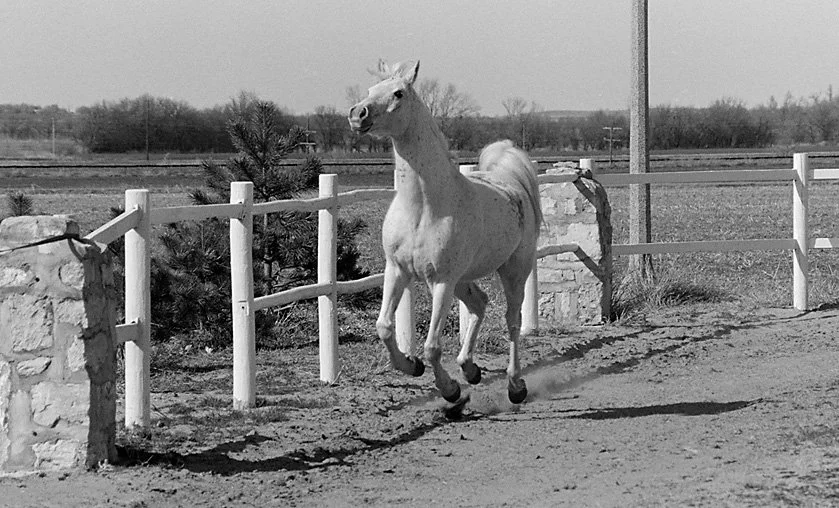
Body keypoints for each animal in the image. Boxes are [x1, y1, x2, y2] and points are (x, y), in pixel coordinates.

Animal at [348, 60, 542, 405]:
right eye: (371, 89)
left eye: (398, 93)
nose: (358, 114)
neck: (423, 207)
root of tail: (511, 182)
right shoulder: (397, 270)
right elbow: (384, 326)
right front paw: (411, 366)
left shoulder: (441, 281)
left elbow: (432, 346)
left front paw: (450, 392)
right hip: (464, 279)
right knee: (479, 304)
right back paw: (470, 368)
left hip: (513, 270)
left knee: (513, 321)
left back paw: (514, 385)